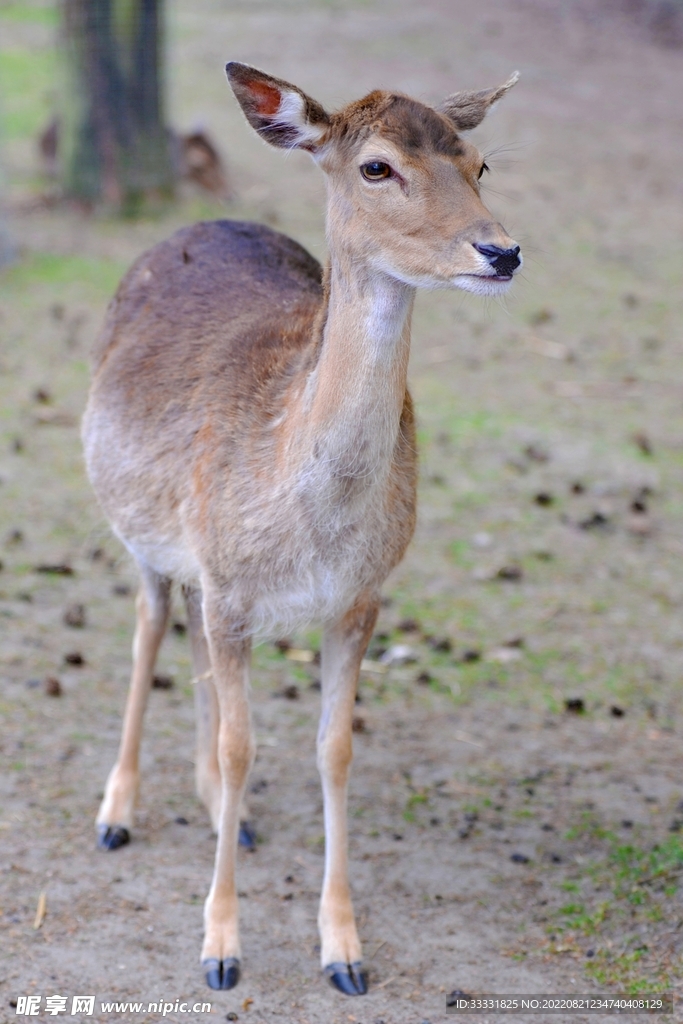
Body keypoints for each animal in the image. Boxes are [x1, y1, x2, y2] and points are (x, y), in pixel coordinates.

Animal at [81, 62, 522, 996]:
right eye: (376, 167)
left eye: (478, 163)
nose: (500, 252)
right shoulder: (231, 590)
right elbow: (245, 744)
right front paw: (219, 949)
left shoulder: (359, 598)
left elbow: (333, 750)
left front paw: (344, 952)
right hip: (138, 532)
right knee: (149, 627)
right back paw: (117, 812)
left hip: (199, 565)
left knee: (191, 646)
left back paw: (225, 813)